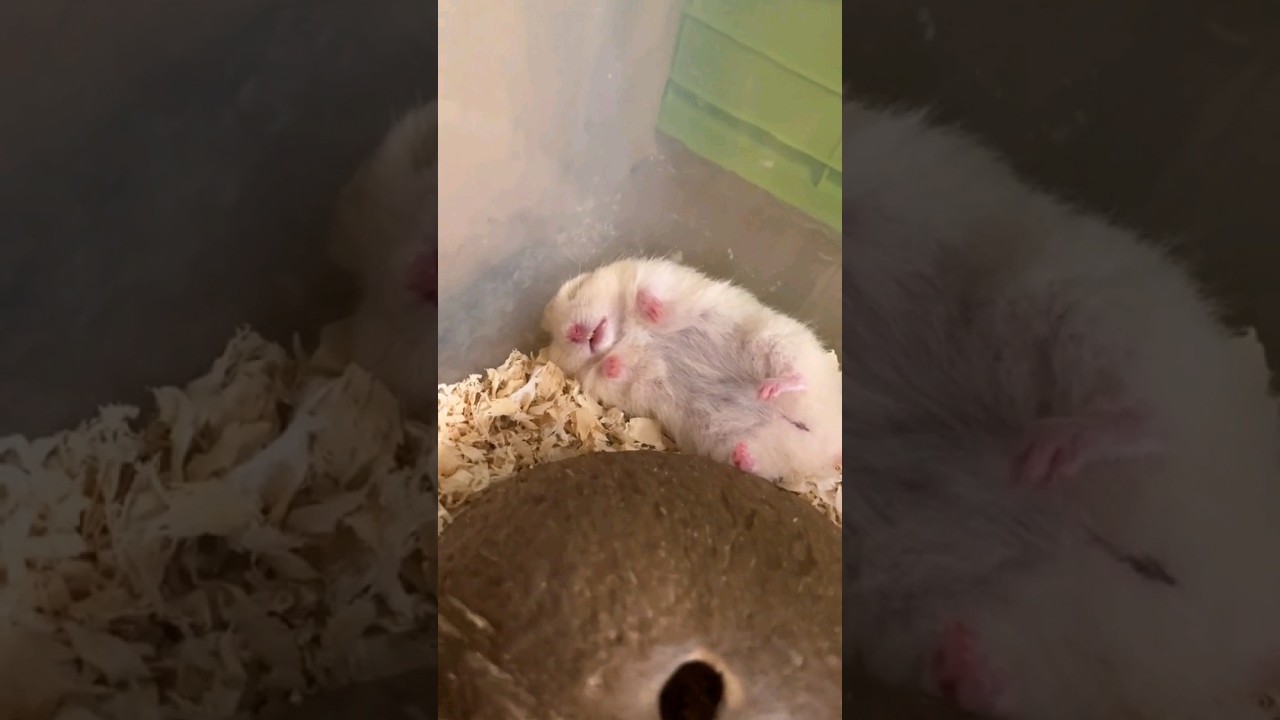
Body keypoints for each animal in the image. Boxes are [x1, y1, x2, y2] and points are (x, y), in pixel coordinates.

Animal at [542, 257, 842, 484]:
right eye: (555, 339)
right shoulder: (621, 386)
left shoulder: (665, 281)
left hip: (778, 341)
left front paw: (647, 307)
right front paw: (611, 363)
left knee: (800, 375)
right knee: (758, 460)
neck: (621, 331)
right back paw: (744, 451)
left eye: (576, 290)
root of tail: (830, 441)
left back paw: (770, 389)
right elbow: (616, 371)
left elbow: (654, 300)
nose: (575, 333)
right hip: (750, 442)